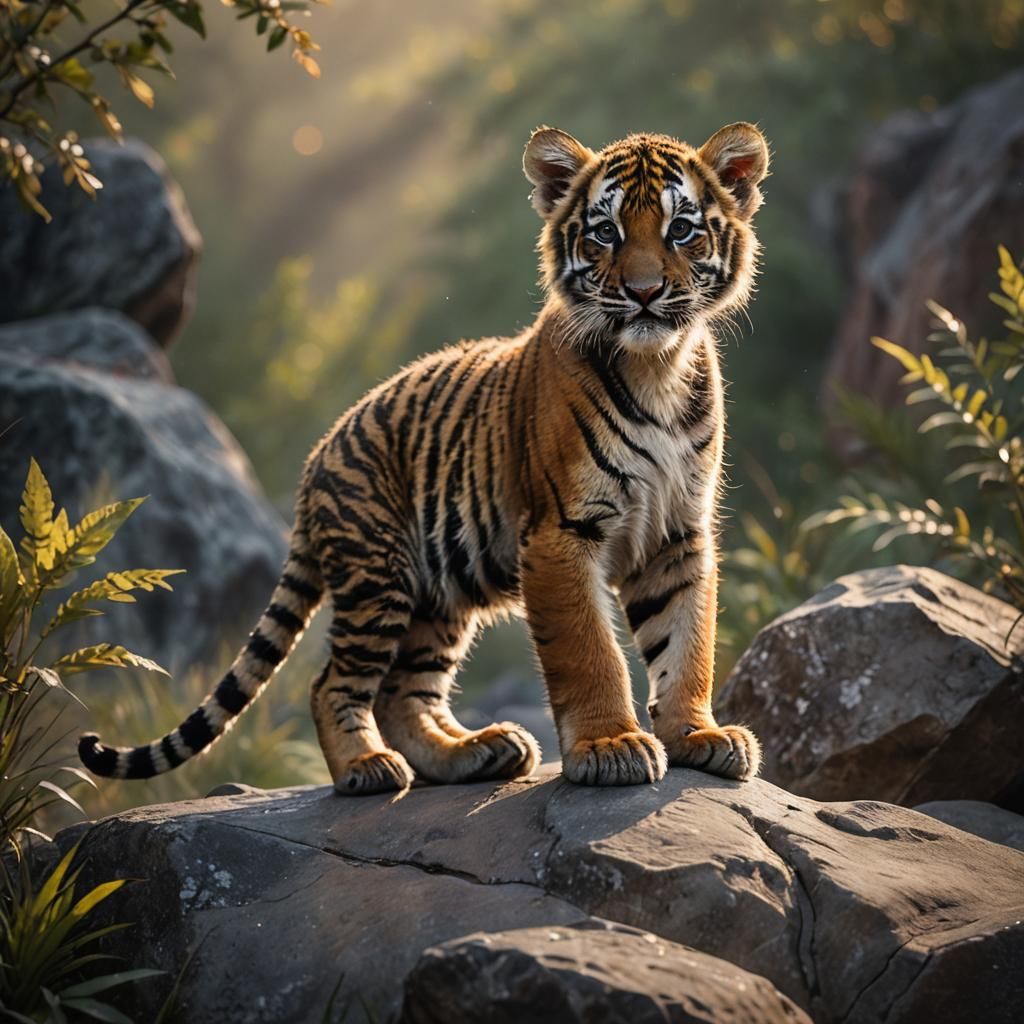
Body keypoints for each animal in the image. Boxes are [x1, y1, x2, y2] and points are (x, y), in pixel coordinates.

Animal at [80, 121, 769, 794]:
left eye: (681, 229)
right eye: (606, 232)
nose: (645, 292)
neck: (657, 368)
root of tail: (318, 456)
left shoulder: (677, 532)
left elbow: (686, 641)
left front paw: (698, 735)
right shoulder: (561, 532)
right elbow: (589, 650)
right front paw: (611, 747)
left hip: (439, 596)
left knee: (403, 693)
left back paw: (479, 751)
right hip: (378, 576)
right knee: (334, 683)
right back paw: (366, 768)